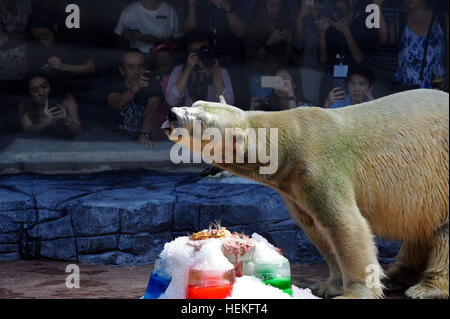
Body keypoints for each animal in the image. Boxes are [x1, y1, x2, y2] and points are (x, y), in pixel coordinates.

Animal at [163, 90, 450, 300]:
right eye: (195, 102)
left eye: (202, 121)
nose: (172, 113)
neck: (285, 143)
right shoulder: (293, 187)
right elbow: (317, 229)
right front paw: (328, 285)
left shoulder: (320, 167)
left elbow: (346, 226)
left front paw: (352, 294)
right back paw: (396, 275)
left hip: (441, 173)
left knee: (443, 231)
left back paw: (426, 289)